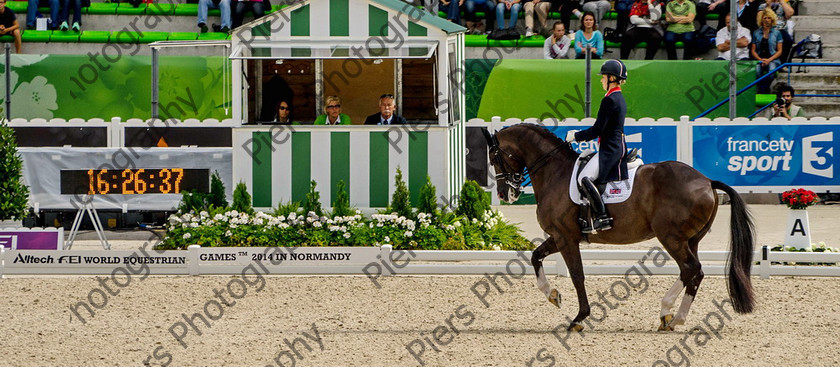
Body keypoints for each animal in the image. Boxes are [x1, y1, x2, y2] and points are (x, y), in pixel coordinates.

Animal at [482, 124, 756, 334]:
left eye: (494, 157)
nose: (505, 194)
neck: (555, 172)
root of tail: (707, 181)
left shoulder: (565, 238)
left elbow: (577, 275)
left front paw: (579, 318)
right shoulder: (559, 236)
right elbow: (535, 256)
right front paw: (553, 295)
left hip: (672, 238)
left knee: (691, 268)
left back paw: (669, 312)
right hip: (691, 240)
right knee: (694, 273)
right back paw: (672, 318)